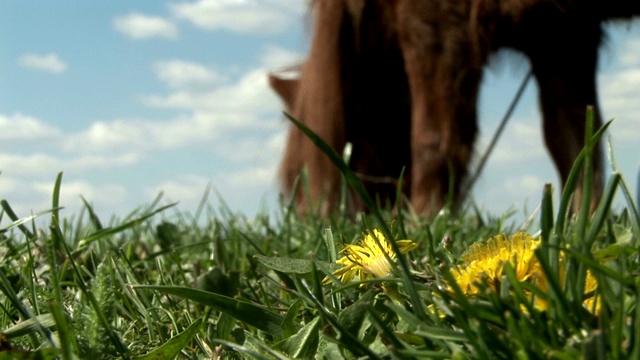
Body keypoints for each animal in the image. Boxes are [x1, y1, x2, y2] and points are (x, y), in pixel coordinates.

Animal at [272, 0, 640, 217]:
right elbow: (574, 141)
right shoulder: (563, 34)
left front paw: (424, 224)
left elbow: (436, 142)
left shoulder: (436, 21)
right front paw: (583, 227)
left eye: (301, 179)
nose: (310, 224)